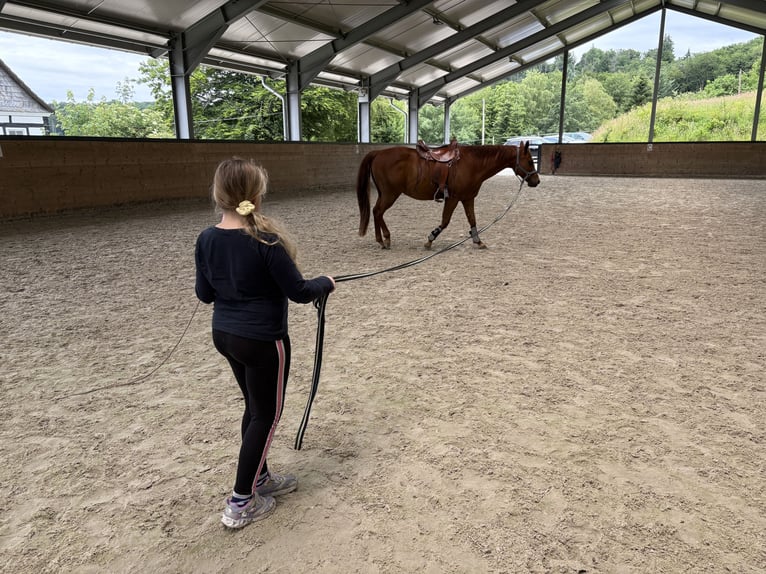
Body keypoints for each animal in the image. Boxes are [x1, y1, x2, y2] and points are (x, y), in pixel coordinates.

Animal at [356, 141, 540, 250]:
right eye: (530, 161)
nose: (536, 181)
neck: (472, 163)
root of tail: (378, 153)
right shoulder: (453, 198)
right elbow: (445, 221)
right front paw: (430, 239)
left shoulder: (467, 198)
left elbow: (472, 219)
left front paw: (477, 240)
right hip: (390, 194)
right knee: (378, 212)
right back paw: (385, 239)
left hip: (385, 194)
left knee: (376, 212)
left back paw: (382, 239)